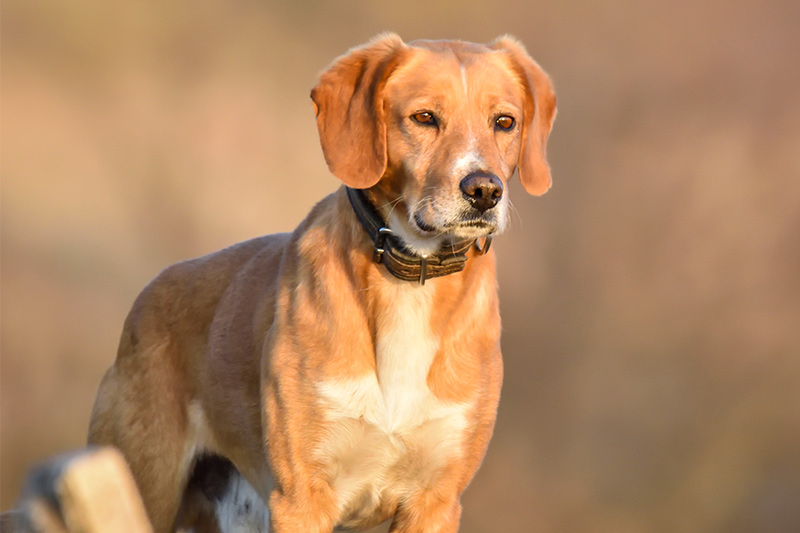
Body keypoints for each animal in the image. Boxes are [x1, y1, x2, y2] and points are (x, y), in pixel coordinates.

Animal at [87, 34, 556, 532]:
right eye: (424, 117)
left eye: (504, 122)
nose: (484, 190)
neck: (412, 281)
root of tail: (150, 290)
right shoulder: (301, 497)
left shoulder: (436, 501)